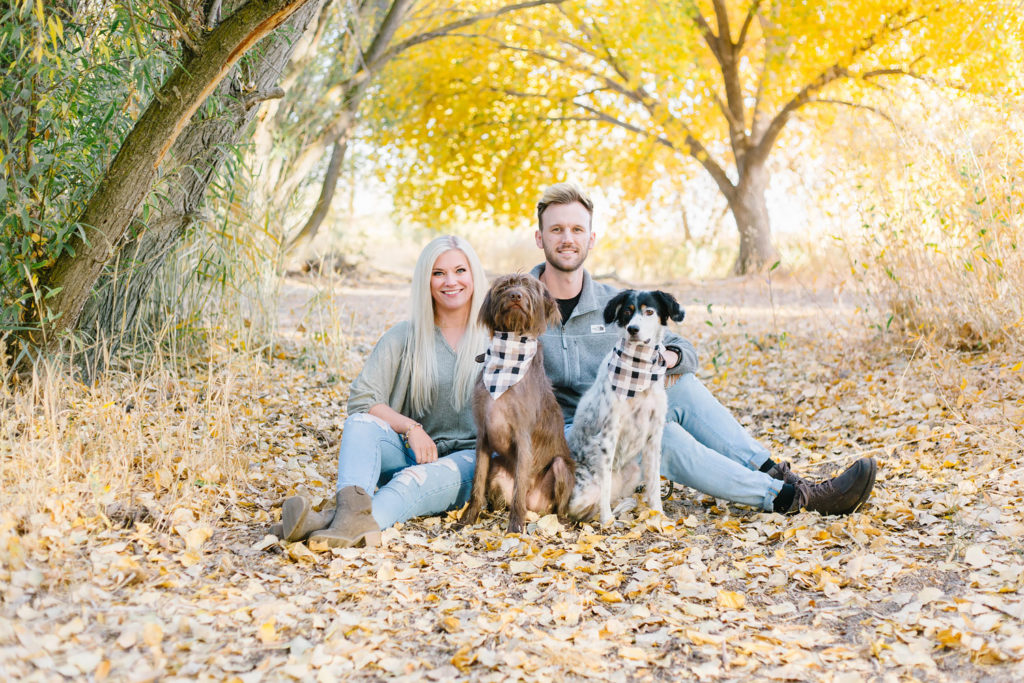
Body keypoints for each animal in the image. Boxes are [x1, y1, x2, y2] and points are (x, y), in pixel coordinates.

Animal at [458, 272, 573, 532]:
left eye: (529, 287)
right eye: (505, 286)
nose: (515, 296)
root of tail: (535, 505)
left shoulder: (523, 436)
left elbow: (520, 485)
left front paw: (515, 527)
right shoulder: (483, 434)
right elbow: (477, 484)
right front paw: (468, 519)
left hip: (560, 467)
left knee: (557, 505)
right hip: (497, 467)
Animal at [573, 288, 684, 524]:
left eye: (649, 311)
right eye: (627, 311)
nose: (633, 329)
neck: (637, 370)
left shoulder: (654, 437)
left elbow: (654, 484)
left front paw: (658, 514)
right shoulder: (608, 436)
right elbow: (604, 486)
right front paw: (606, 520)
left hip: (633, 471)